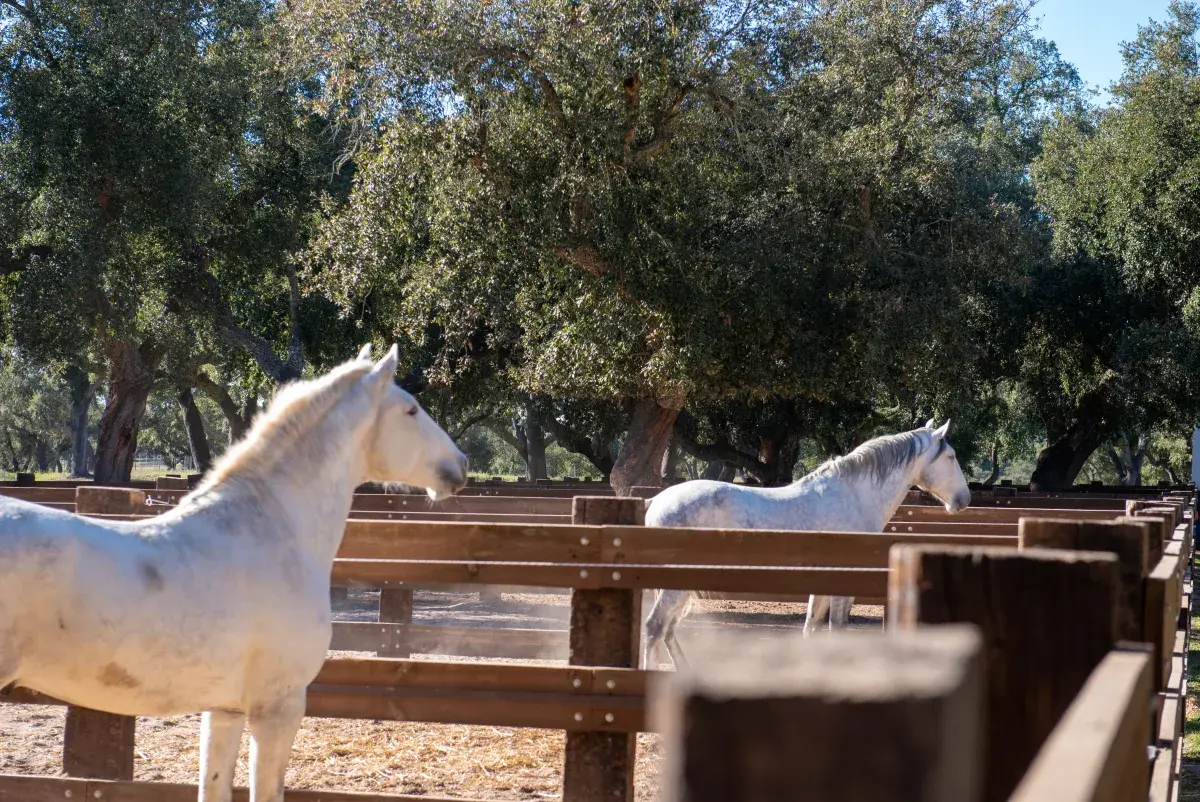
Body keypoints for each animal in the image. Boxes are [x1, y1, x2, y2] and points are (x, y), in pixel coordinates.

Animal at [641, 419, 970, 670]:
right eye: (951, 456)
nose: (964, 500)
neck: (853, 497)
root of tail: (656, 500)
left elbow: (811, 627)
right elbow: (837, 627)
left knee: (668, 629)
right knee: (655, 626)